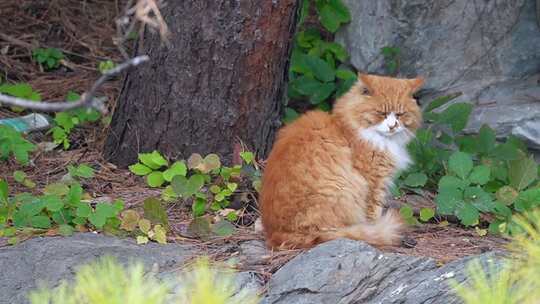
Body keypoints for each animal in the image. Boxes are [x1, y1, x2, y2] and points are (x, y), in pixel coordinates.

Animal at [260, 73, 424, 249]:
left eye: (400, 114)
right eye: (381, 113)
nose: (392, 126)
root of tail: (277, 234)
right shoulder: (374, 182)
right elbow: (373, 213)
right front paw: (375, 227)